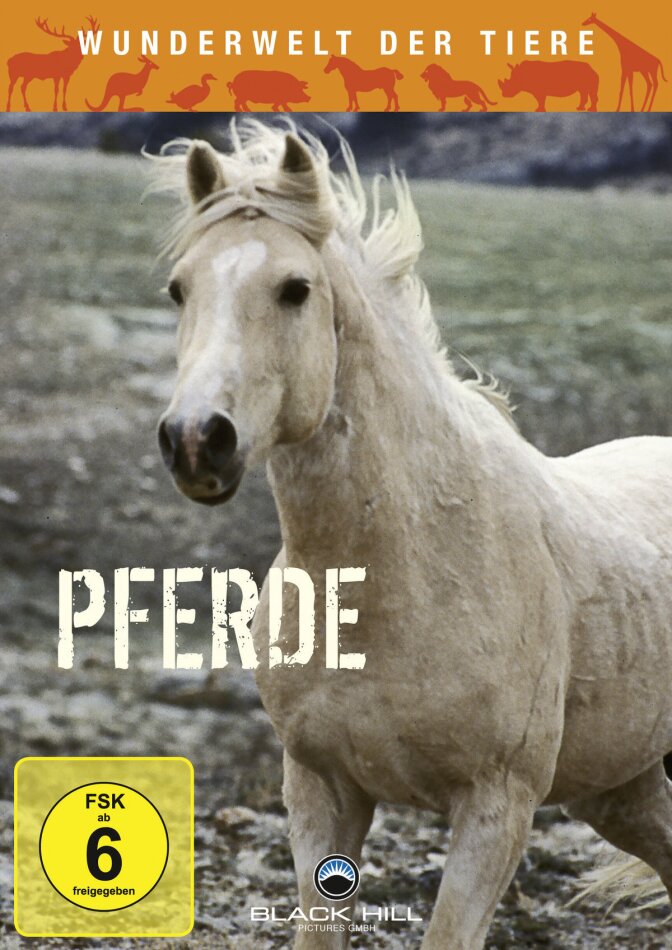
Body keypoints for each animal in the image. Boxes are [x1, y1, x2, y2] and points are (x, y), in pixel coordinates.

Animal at [151, 122, 672, 949]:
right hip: (619, 788)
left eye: (295, 288)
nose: (197, 440)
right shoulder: (321, 789)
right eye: (180, 288)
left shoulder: (495, 808)